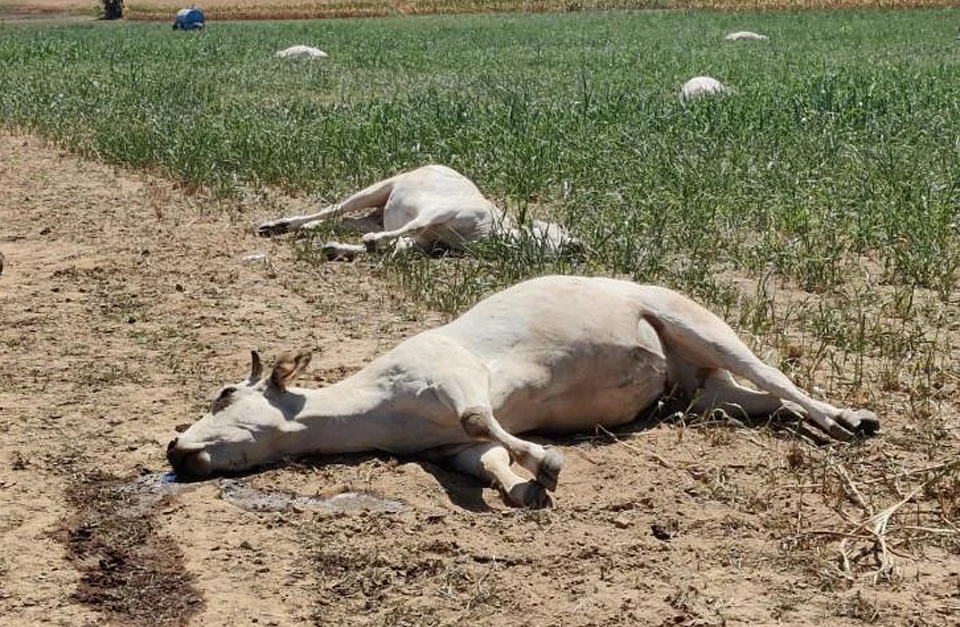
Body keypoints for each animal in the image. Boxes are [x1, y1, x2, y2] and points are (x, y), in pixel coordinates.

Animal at [167, 276, 876, 510]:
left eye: (224, 393)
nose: (176, 451)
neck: (375, 404)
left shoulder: (453, 376)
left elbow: (482, 420)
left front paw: (547, 462)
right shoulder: (443, 450)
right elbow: (482, 458)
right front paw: (521, 486)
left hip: (697, 324)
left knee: (777, 377)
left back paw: (850, 419)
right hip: (704, 393)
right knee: (765, 401)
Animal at [253, 164, 576, 260]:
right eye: (554, 229)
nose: (579, 246)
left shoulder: (429, 240)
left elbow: (404, 243)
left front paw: (347, 248)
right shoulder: (439, 212)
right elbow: (409, 228)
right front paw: (373, 244)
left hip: (374, 215)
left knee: (342, 221)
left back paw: (321, 237)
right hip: (377, 189)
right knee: (335, 209)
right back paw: (277, 225)